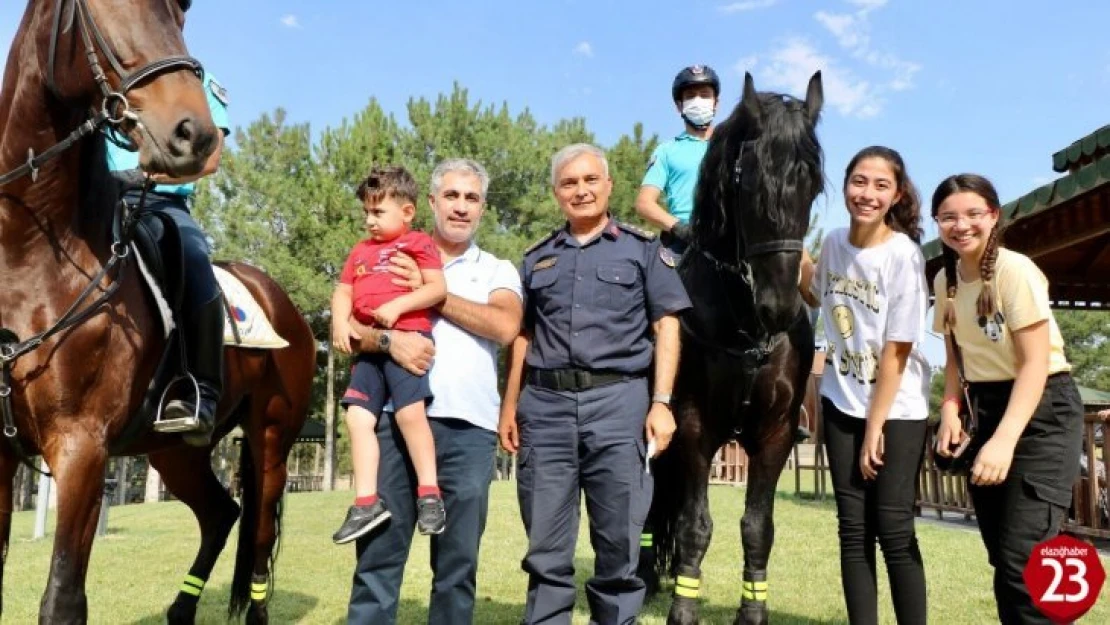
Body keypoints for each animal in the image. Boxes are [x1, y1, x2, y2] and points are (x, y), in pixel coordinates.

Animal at [1, 2, 313, 621]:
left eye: (179, 13)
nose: (195, 133)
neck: (29, 255)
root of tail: (279, 297)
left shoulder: (81, 446)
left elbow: (63, 599)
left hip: (271, 440)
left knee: (260, 538)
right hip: (175, 451)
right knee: (221, 514)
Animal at [643, 72, 825, 625]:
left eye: (814, 185)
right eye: (749, 183)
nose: (779, 307)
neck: (745, 327)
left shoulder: (776, 436)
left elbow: (758, 528)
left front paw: (752, 613)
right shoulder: (693, 429)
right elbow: (694, 524)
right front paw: (683, 609)